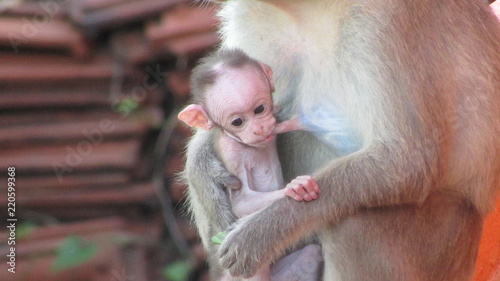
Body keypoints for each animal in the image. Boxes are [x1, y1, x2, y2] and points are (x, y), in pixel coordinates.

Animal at [178, 49, 322, 278]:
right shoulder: (234, 156)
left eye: (259, 109)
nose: (259, 128)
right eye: (237, 122)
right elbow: (242, 202)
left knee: (310, 254)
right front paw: (295, 188)